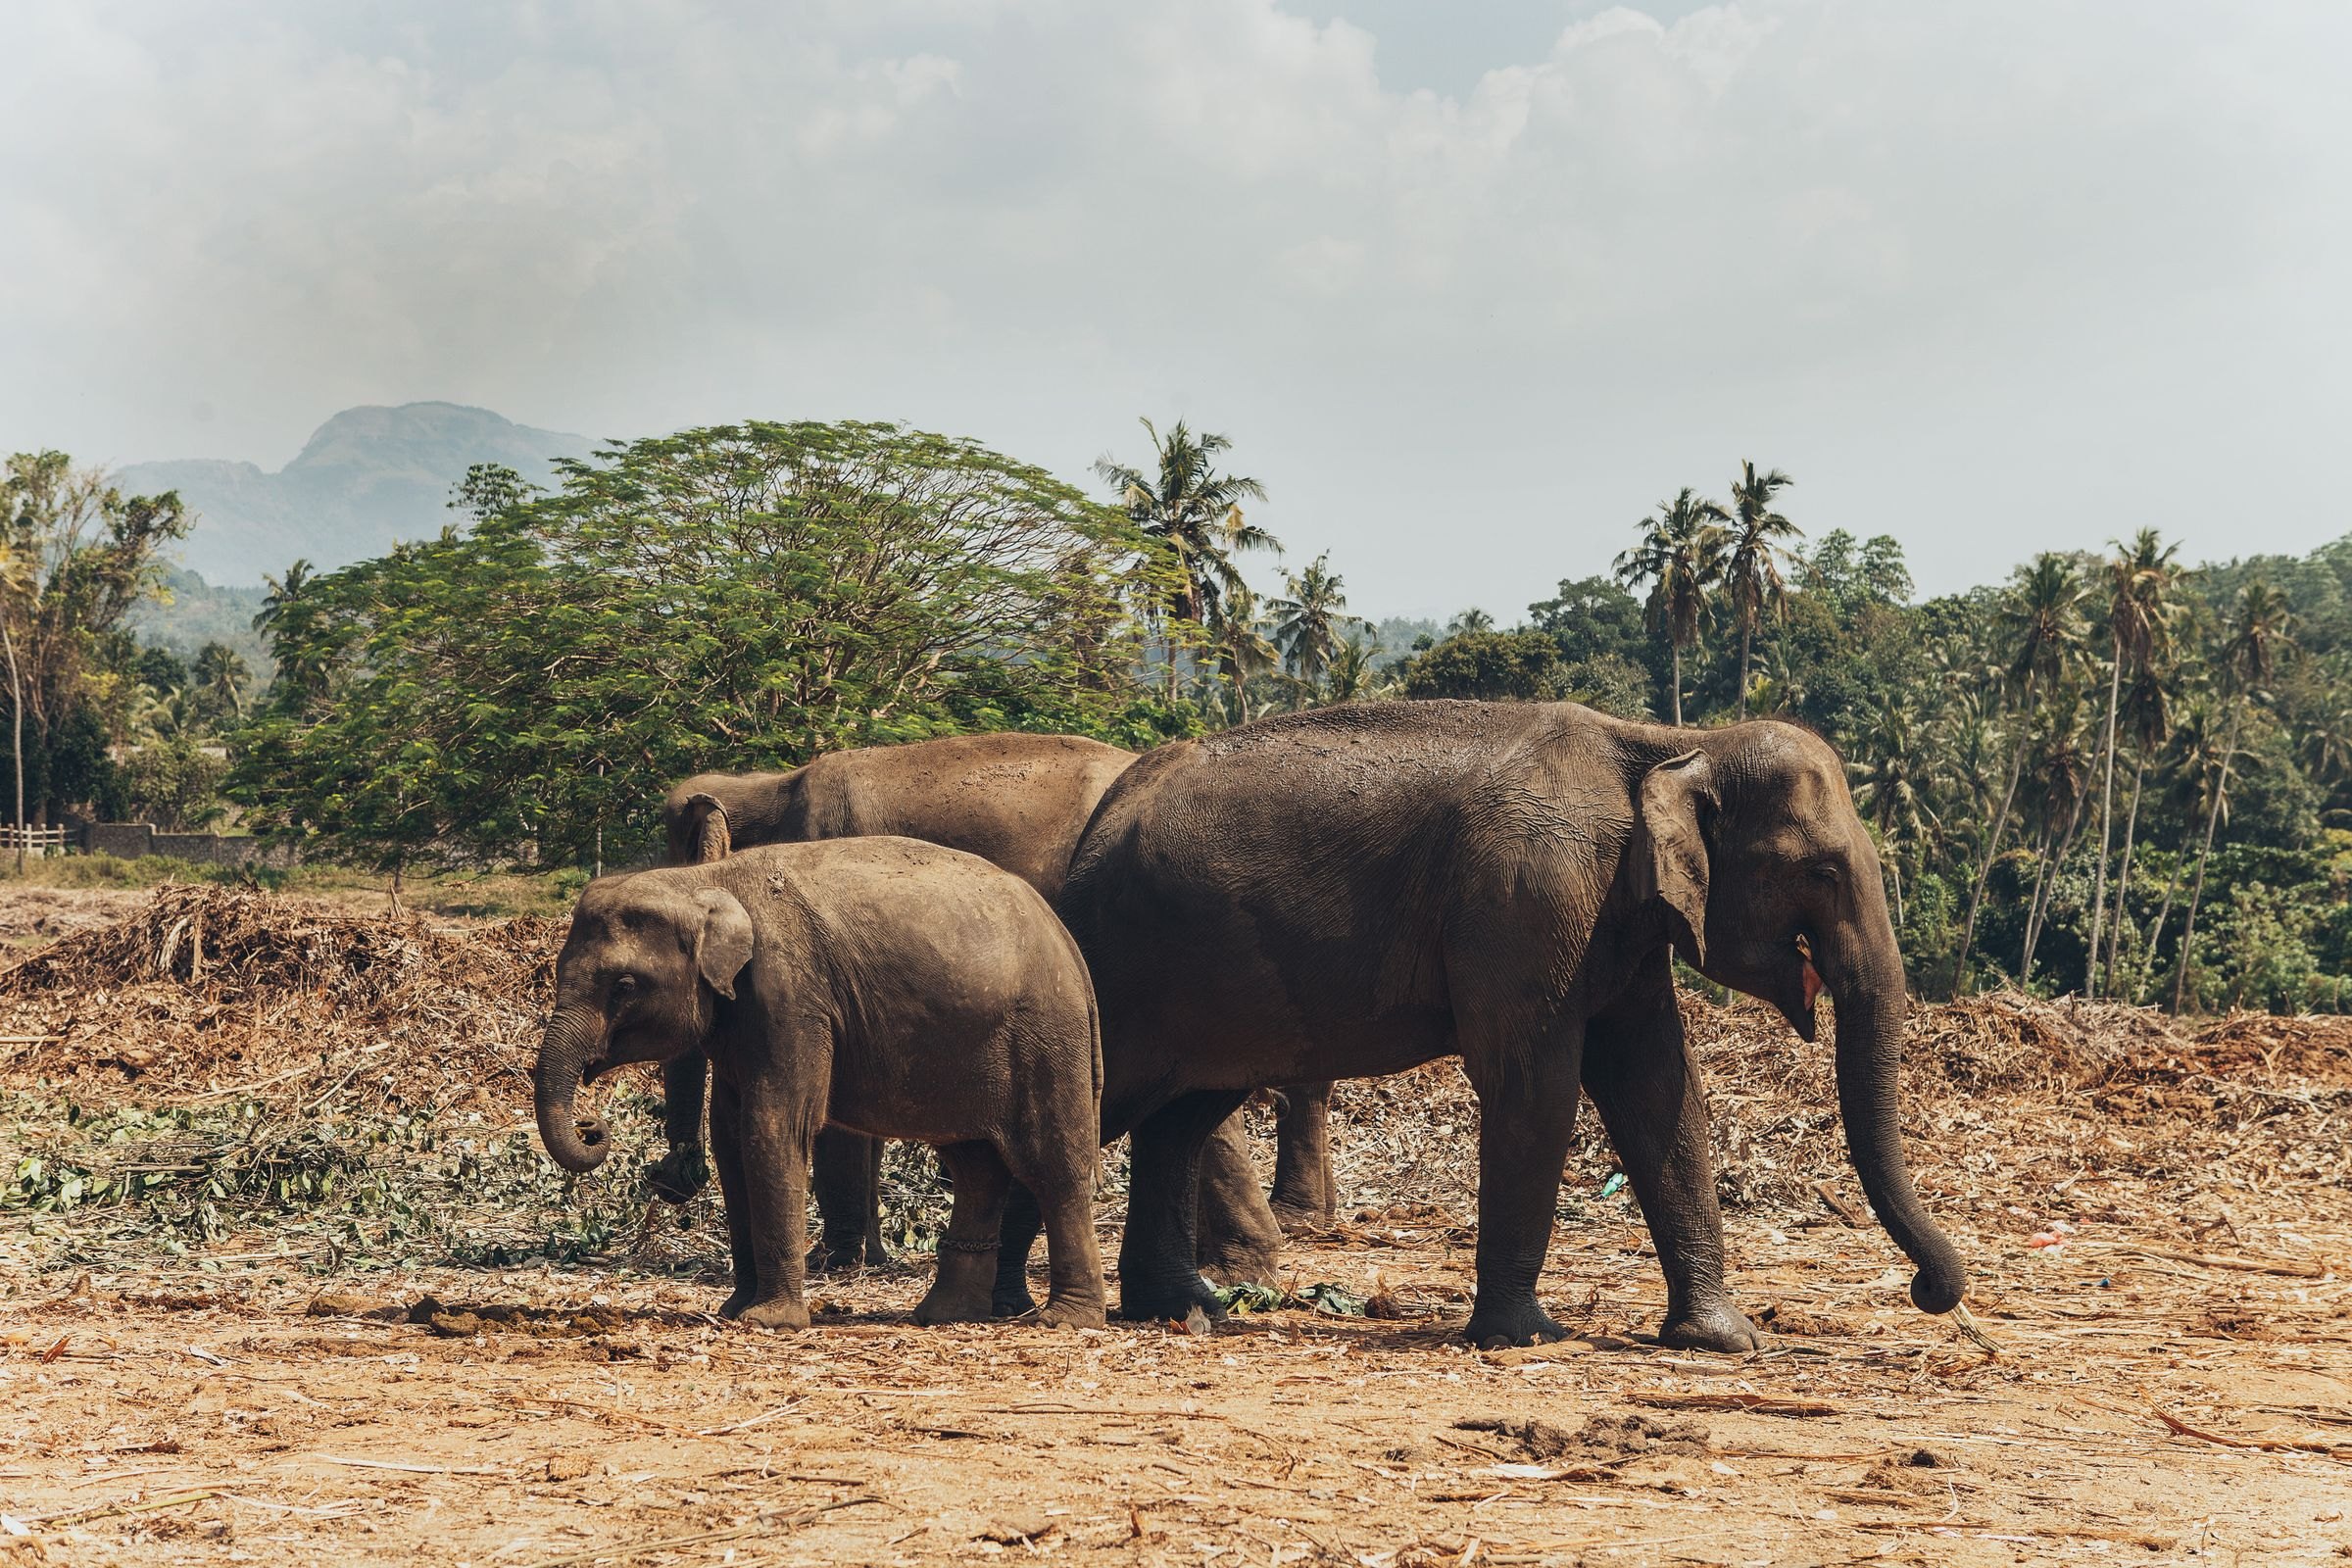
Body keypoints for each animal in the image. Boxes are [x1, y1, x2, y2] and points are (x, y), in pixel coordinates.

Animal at [533, 839, 1107, 1331]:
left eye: (624, 985)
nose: (591, 1126)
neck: (703, 881)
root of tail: (1069, 946)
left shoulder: (790, 998)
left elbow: (773, 1127)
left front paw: (769, 1322)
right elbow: (730, 1139)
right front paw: (734, 1310)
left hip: (1044, 1038)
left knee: (1053, 1164)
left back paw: (1065, 1321)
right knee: (974, 1166)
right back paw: (942, 1315)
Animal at [652, 732, 1330, 1285]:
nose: (671, 1178)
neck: (765, 783)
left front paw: (833, 1262)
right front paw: (866, 1257)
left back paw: (1239, 1266)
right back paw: (1234, 1264)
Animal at [1006, 699, 1966, 1351]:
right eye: (1823, 872)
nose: (1930, 1291)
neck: (1663, 743)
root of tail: (1099, 819)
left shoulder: (1616, 921)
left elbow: (1658, 1085)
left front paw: (1720, 1340)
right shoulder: (1529, 897)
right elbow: (1536, 1083)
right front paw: (1526, 1335)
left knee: (1181, 1116)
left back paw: (1182, 1310)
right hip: (1126, 960)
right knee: (1096, 1101)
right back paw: (1012, 1307)